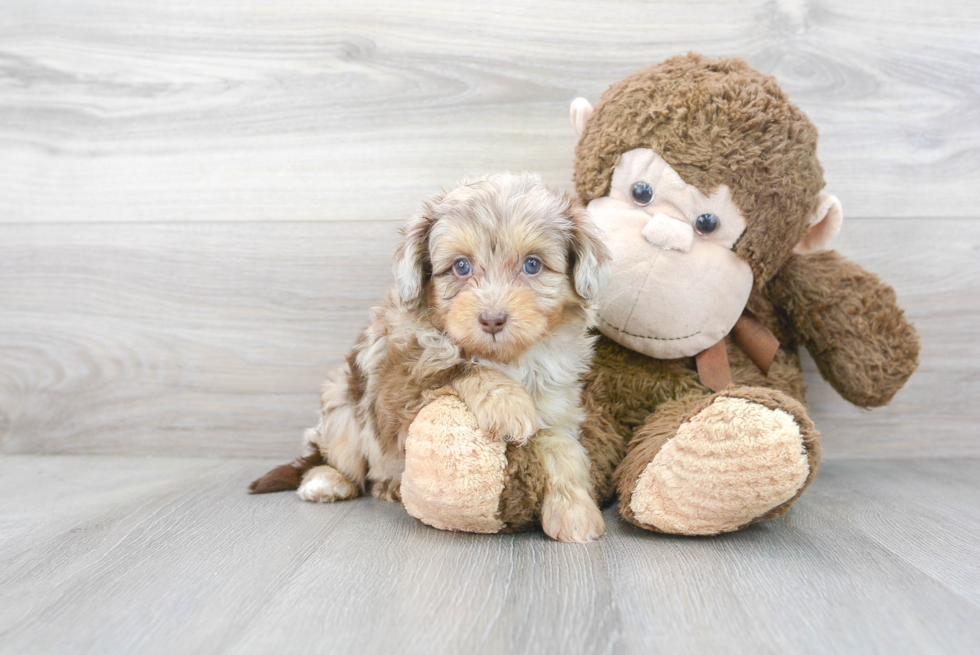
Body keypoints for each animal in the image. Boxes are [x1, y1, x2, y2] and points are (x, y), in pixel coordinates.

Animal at [249, 173, 608, 544]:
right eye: (461, 266)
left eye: (533, 265)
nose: (492, 319)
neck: (506, 358)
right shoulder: (395, 384)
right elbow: (454, 366)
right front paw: (506, 401)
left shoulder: (556, 404)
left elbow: (563, 449)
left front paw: (574, 510)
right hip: (341, 402)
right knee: (343, 458)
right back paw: (331, 481)